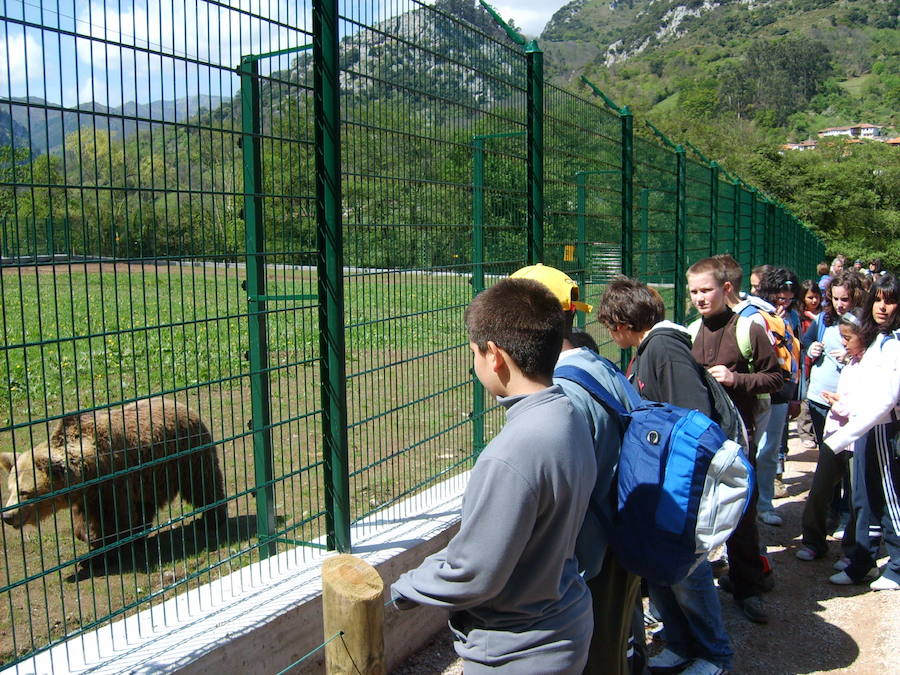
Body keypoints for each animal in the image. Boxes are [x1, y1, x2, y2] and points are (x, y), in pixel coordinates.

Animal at [0, 402, 225, 548]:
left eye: (25, 491)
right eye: (10, 490)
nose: (7, 516)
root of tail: (181, 404)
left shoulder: (112, 481)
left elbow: (116, 517)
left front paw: (109, 540)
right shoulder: (87, 495)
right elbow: (83, 520)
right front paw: (90, 536)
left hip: (186, 454)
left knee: (203, 485)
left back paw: (210, 519)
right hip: (151, 475)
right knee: (146, 502)